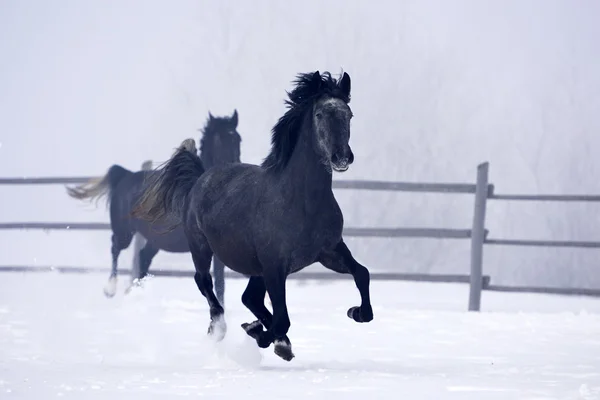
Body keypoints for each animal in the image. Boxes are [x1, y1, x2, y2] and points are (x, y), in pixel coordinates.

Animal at [66, 110, 241, 300]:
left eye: (237, 139)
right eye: (218, 138)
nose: (234, 168)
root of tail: (126, 175)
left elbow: (221, 284)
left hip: (155, 240)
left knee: (143, 258)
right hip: (125, 233)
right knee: (116, 247)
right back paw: (110, 289)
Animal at [134, 70, 372, 360]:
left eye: (349, 114)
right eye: (319, 114)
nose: (341, 157)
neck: (302, 202)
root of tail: (201, 178)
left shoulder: (329, 251)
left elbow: (362, 274)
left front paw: (356, 312)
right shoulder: (274, 266)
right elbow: (282, 319)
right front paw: (266, 337)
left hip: (255, 267)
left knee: (249, 298)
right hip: (201, 247)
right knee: (205, 282)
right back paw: (222, 328)